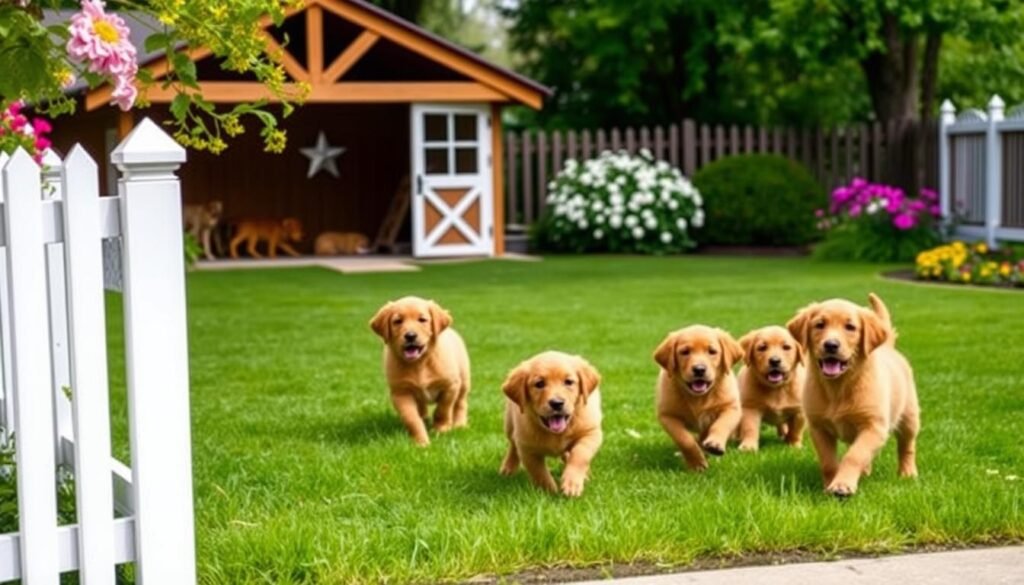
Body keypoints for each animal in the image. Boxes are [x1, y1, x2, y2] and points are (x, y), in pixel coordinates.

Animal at [370, 295, 468, 446]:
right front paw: (421, 442)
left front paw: (441, 429)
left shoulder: (450, 385)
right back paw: (425, 419)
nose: (410, 336)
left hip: (464, 381)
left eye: (422, 320)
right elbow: (411, 419)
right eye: (397, 321)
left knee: (460, 403)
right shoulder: (401, 393)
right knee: (422, 408)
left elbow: (443, 410)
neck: (419, 363)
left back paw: (459, 424)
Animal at [501, 350, 602, 495]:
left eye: (568, 382)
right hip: (509, 424)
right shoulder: (527, 448)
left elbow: (580, 455)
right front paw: (548, 491)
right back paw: (508, 468)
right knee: (513, 445)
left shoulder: (591, 433)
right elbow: (538, 471)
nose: (557, 403)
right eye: (539, 384)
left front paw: (572, 483)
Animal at [655, 325, 745, 471]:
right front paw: (696, 464)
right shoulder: (667, 415)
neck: (698, 397)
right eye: (685, 352)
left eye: (712, 351)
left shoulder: (731, 407)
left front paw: (715, 444)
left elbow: (721, 425)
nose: (699, 369)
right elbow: (684, 439)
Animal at [786, 293, 925, 499]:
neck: (839, 387)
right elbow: (828, 461)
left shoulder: (874, 426)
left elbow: (854, 455)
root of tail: (888, 347)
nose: (831, 345)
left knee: (906, 446)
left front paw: (842, 484)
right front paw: (829, 485)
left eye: (850, 327)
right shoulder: (818, 428)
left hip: (909, 417)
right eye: (820, 325)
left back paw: (907, 473)